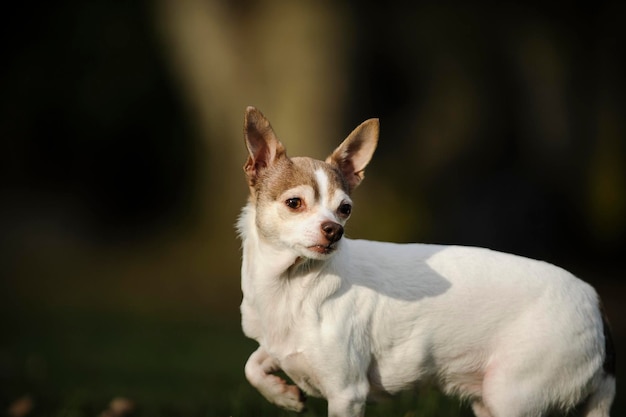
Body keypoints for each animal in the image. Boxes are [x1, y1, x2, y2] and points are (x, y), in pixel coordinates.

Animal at [236, 105, 612, 414]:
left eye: (345, 209)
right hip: (490, 401)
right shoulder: (279, 346)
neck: (290, 285)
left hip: (514, 393)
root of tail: (595, 304)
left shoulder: (346, 394)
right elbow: (251, 365)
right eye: (294, 203)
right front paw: (282, 394)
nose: (334, 230)